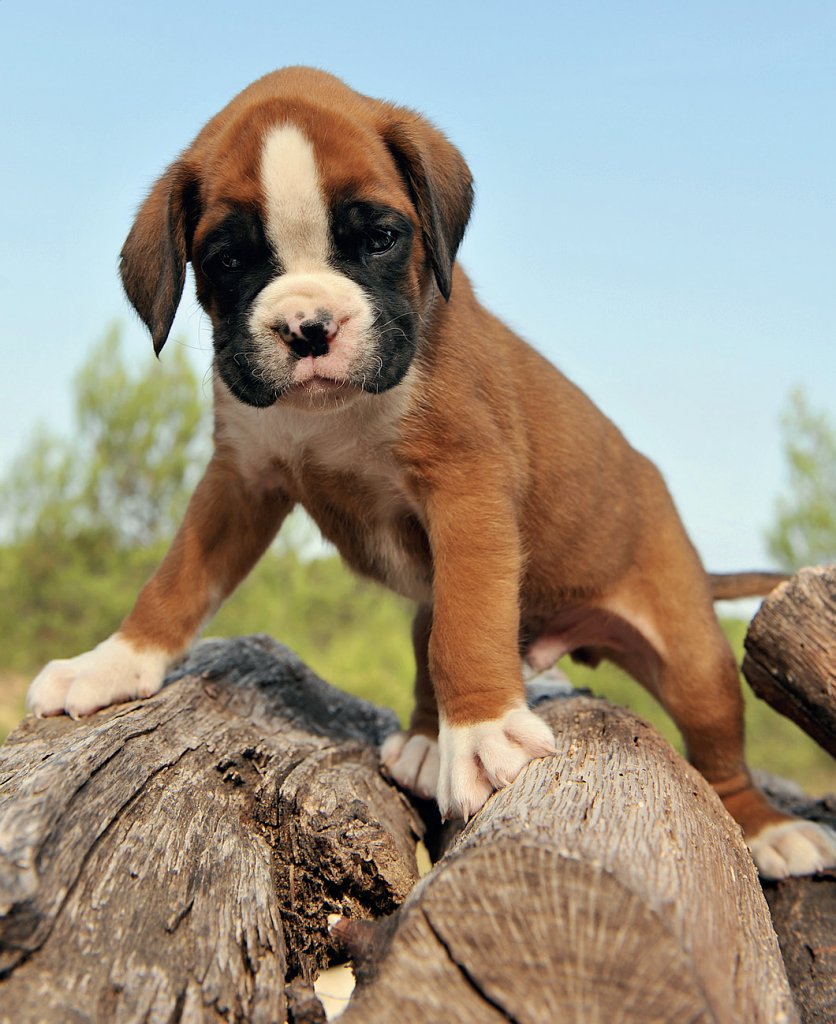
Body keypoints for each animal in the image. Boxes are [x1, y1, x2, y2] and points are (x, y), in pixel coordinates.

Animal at [27, 66, 836, 880]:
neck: (336, 417)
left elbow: (468, 626)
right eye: (228, 261)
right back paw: (423, 739)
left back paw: (768, 830)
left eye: (380, 238)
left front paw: (480, 732)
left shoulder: (466, 489)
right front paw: (113, 662)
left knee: (717, 749)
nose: (308, 328)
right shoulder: (240, 484)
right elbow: (176, 581)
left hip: (692, 658)